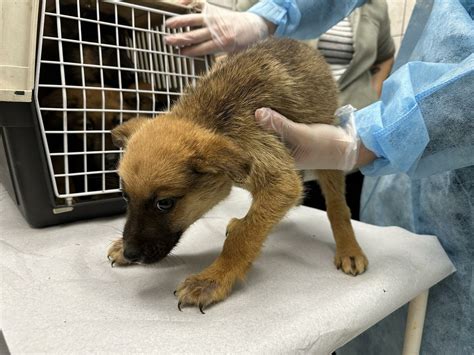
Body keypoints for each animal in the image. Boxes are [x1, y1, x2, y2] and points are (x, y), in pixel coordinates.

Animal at [109, 38, 368, 312]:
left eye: (165, 203)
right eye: (125, 197)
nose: (130, 253)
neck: (214, 119)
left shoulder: (278, 178)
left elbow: (244, 237)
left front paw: (213, 279)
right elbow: (254, 224)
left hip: (329, 155)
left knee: (337, 205)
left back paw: (349, 248)